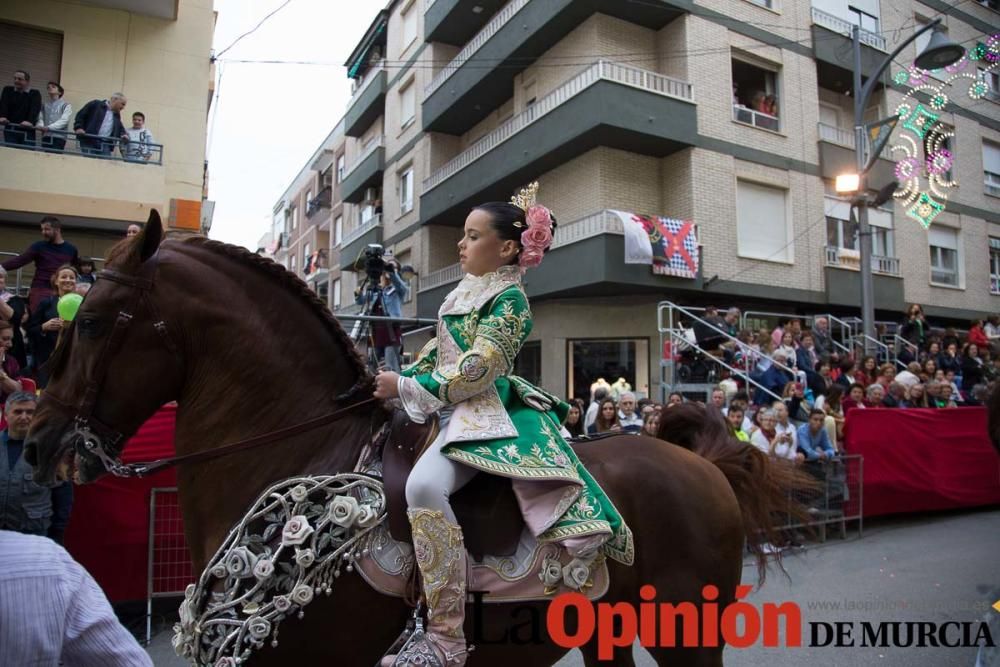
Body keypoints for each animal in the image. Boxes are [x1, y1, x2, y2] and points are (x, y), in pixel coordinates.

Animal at [29, 215, 812, 667]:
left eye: (91, 321)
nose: (38, 441)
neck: (299, 453)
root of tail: (696, 462)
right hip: (602, 631)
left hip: (689, 632)